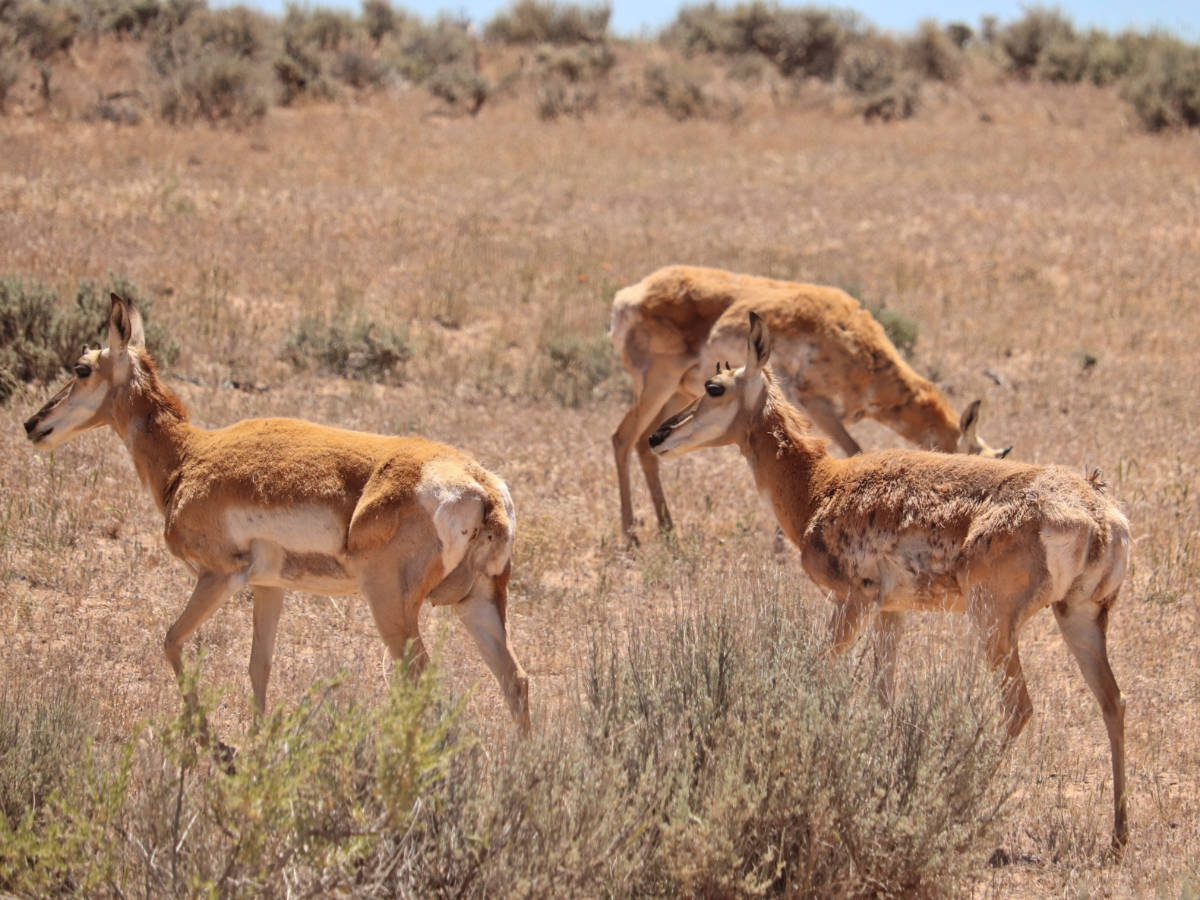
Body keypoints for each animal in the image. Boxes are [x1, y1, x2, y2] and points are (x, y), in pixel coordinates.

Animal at [23, 294, 530, 735]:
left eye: (81, 367)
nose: (32, 424)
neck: (190, 455)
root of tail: (482, 487)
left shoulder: (219, 576)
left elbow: (170, 640)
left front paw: (214, 745)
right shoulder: (270, 586)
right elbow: (258, 666)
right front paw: (256, 746)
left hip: (390, 602)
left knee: (422, 680)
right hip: (477, 601)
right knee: (515, 679)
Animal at [611, 265, 1010, 540]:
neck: (853, 337)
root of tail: (629, 295)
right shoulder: (816, 407)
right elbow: (851, 451)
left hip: (677, 394)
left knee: (645, 445)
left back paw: (668, 533)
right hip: (659, 385)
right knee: (623, 438)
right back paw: (631, 538)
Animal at [648, 312, 1130, 848]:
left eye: (713, 387)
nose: (657, 437)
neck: (820, 485)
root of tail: (1096, 513)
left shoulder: (853, 602)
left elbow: (814, 674)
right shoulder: (892, 615)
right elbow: (883, 698)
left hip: (993, 623)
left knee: (1018, 707)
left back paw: (959, 806)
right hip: (1079, 617)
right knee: (1113, 702)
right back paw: (1118, 834)